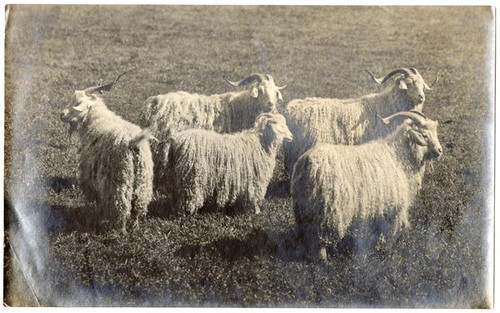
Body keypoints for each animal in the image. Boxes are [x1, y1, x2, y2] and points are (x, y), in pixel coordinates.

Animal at [58, 74, 153, 233]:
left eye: (77, 103)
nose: (61, 115)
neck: (97, 120)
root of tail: (132, 142)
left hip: (117, 180)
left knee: (120, 207)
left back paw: (118, 230)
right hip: (143, 179)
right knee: (138, 206)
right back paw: (134, 227)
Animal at [292, 109, 444, 260]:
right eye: (424, 135)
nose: (439, 150)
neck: (398, 156)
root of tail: (307, 162)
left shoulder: (380, 208)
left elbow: (378, 232)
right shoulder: (393, 207)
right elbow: (390, 232)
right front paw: (387, 252)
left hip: (305, 207)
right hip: (328, 209)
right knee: (319, 237)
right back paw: (322, 259)